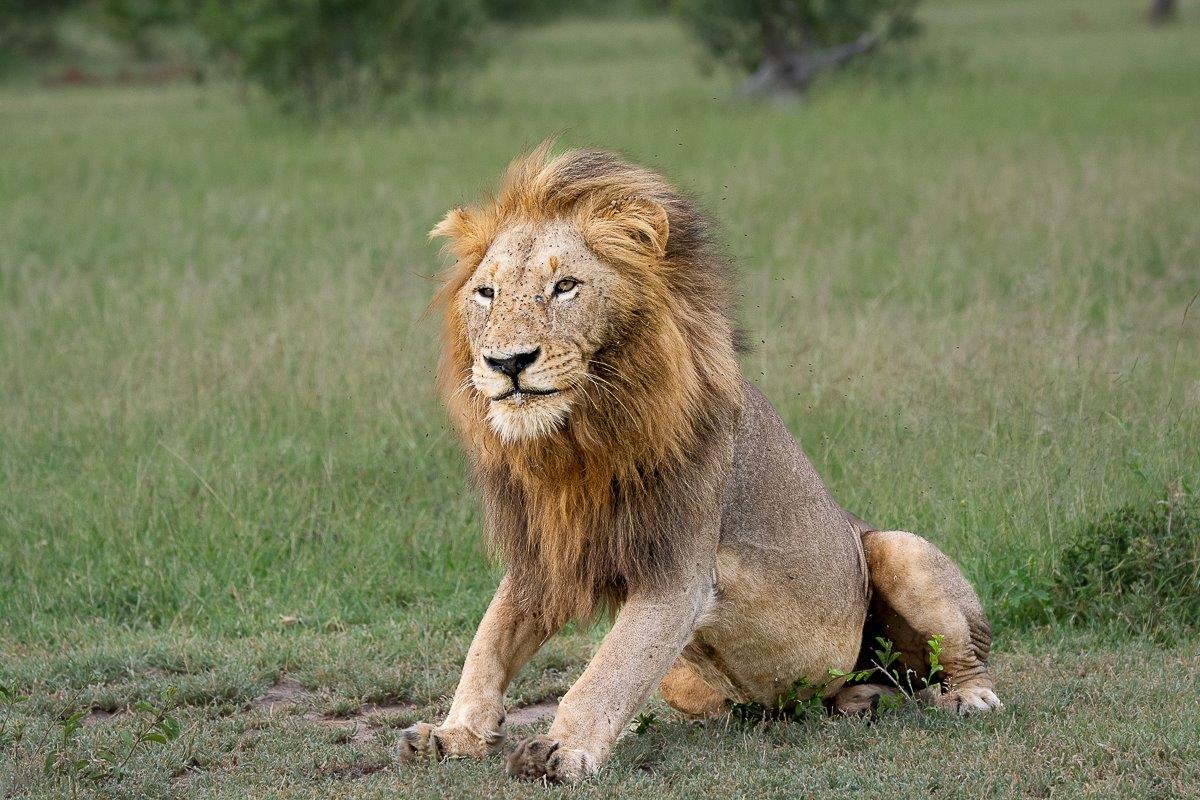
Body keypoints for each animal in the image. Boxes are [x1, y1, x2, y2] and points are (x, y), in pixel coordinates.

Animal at [399, 142, 1001, 783]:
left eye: (565, 286)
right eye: (486, 293)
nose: (506, 362)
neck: (576, 444)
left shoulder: (678, 570)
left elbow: (608, 670)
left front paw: (561, 749)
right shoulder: (547, 554)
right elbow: (489, 643)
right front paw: (453, 734)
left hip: (899, 549)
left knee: (953, 661)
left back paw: (967, 696)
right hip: (685, 683)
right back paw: (848, 700)